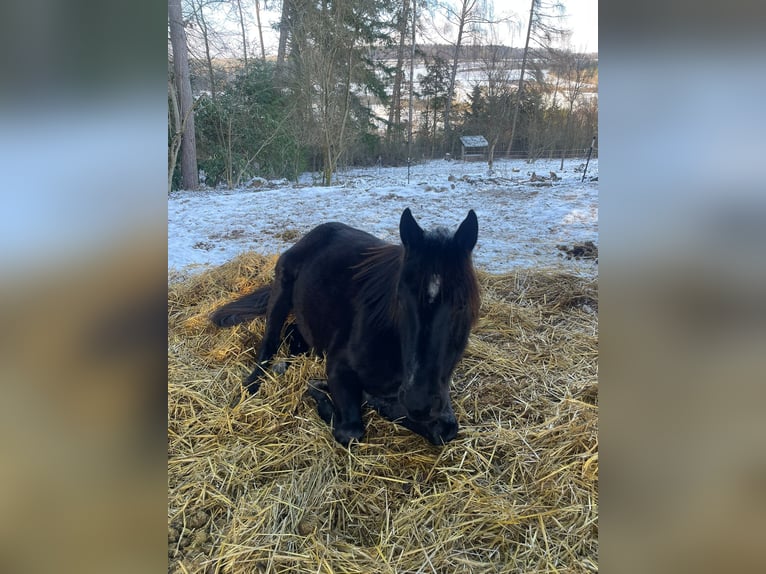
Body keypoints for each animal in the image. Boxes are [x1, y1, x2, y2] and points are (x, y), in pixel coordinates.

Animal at [210, 208, 480, 446]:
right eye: (401, 300)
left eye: (461, 304)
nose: (419, 402)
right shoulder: (338, 366)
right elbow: (350, 431)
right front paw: (324, 392)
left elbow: (446, 429)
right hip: (281, 291)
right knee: (269, 344)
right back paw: (251, 385)